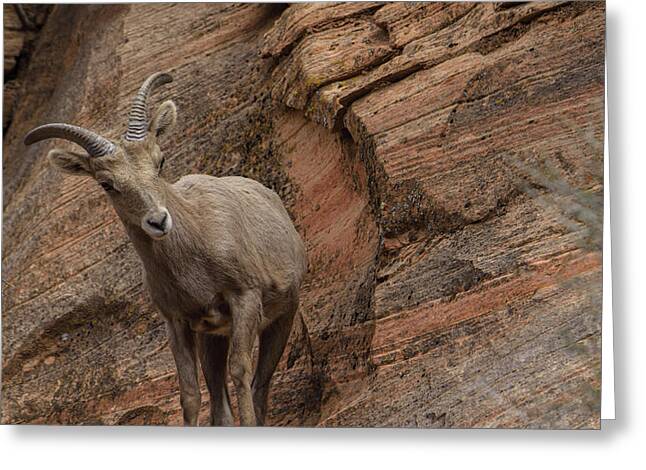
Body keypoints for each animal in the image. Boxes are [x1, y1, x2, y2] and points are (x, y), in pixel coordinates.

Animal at [23, 72, 308, 426]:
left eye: (160, 161)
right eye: (107, 183)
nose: (158, 221)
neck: (193, 262)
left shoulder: (245, 298)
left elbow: (240, 371)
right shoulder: (178, 323)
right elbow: (190, 393)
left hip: (283, 315)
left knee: (259, 386)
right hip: (213, 337)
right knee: (219, 398)